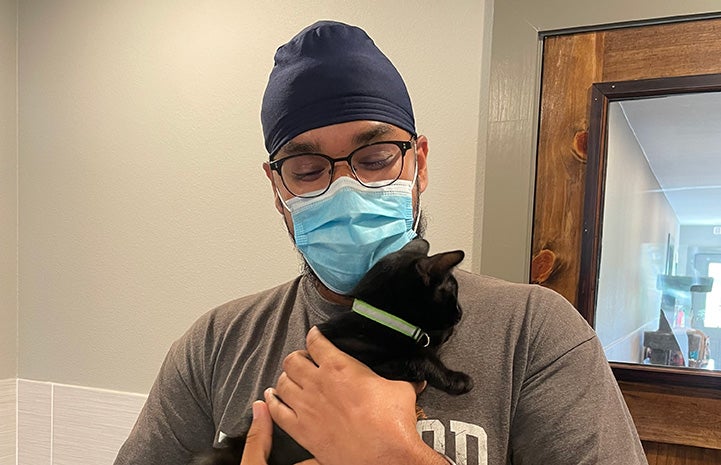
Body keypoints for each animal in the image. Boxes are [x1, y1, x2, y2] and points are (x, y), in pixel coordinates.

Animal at [191, 239, 472, 464]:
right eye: (453, 291)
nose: (460, 313)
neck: (377, 318)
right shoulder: (374, 361)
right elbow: (418, 358)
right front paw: (457, 379)